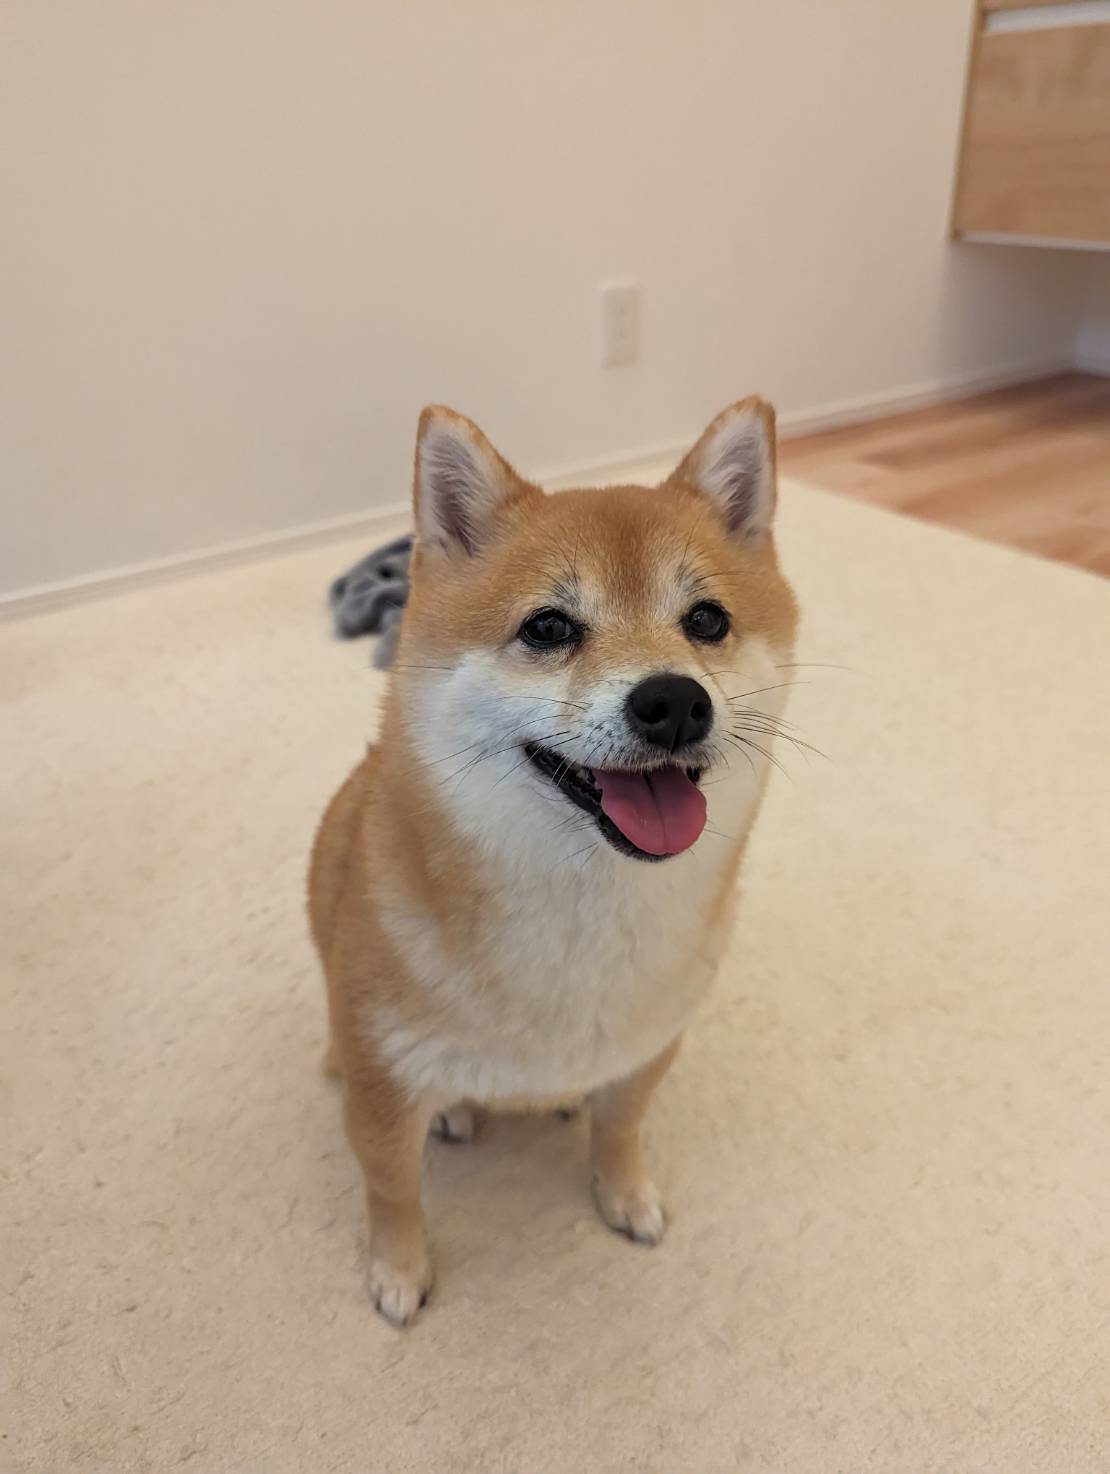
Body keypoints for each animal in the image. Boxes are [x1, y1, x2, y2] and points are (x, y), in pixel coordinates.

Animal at [308, 397, 798, 1326]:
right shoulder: (383, 1083)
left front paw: (624, 1194)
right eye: (548, 628)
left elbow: (622, 1128)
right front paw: (398, 1269)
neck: (587, 917)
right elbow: (391, 1188)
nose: (674, 701)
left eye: (707, 621)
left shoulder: (649, 1045)